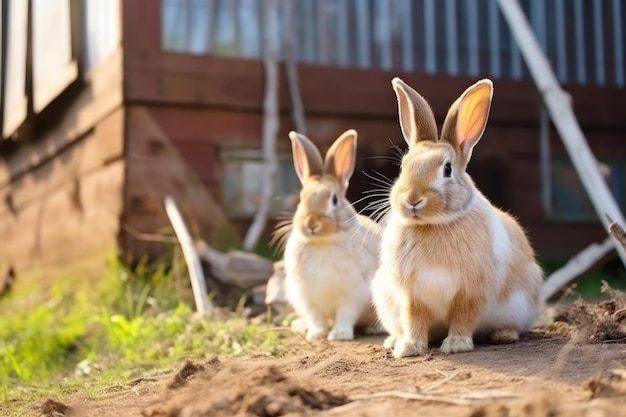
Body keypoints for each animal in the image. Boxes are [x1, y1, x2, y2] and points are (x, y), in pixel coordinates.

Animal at [276, 128, 380, 340]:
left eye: (334, 200)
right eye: (301, 199)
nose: (311, 224)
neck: (323, 241)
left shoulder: (353, 294)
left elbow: (345, 314)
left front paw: (339, 335)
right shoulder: (306, 296)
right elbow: (315, 317)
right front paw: (316, 334)